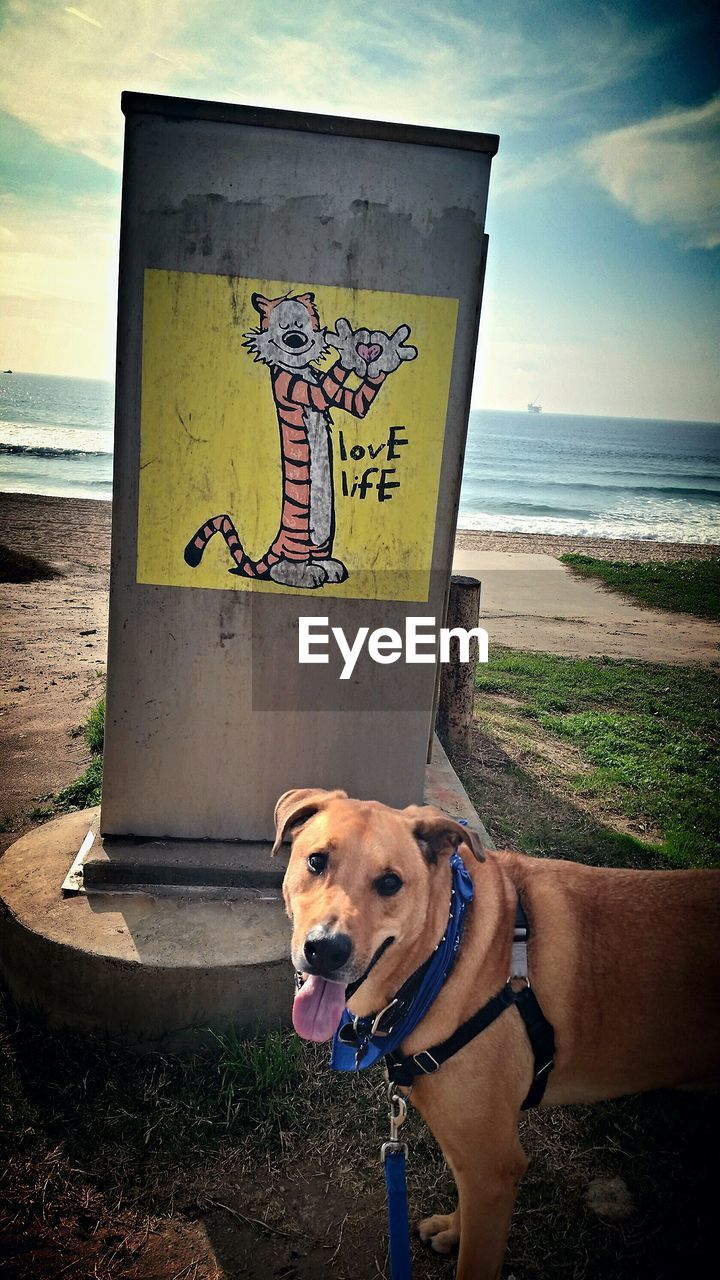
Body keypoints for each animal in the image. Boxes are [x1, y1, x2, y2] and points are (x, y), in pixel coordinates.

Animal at [270, 783, 717, 1274]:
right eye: (316, 861)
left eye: (389, 883)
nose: (326, 949)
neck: (451, 953)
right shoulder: (476, 1159)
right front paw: (453, 1229)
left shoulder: (493, 1166)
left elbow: (476, 1256)